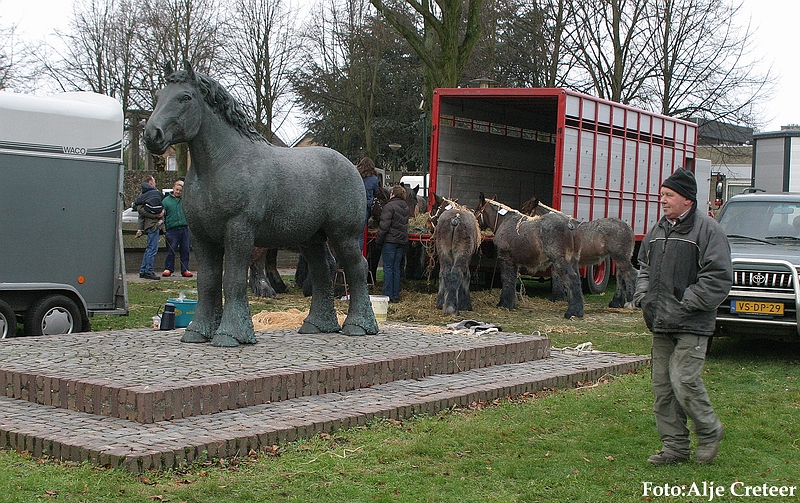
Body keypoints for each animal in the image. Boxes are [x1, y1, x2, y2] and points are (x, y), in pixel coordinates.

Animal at [145, 63, 378, 346]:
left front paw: (230, 334)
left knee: (357, 268)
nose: (152, 135)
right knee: (323, 269)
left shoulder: (239, 229)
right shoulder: (201, 235)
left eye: (185, 97)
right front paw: (197, 331)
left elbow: (233, 280)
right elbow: (208, 282)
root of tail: (350, 166)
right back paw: (316, 324)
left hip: (343, 235)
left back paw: (359, 325)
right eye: (158, 96)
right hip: (311, 238)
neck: (222, 164)